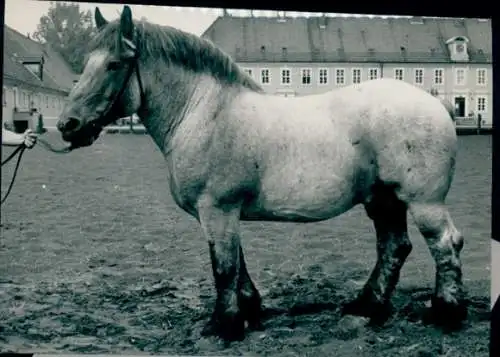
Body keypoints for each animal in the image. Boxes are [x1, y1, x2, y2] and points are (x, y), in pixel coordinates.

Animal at [57, 4, 468, 340]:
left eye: (113, 64)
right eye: (86, 63)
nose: (67, 124)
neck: (204, 113)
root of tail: (438, 105)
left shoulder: (218, 209)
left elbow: (223, 266)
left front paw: (223, 325)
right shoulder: (222, 213)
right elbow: (236, 263)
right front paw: (250, 310)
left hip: (423, 202)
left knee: (445, 244)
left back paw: (446, 313)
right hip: (383, 199)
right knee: (393, 248)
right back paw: (368, 307)